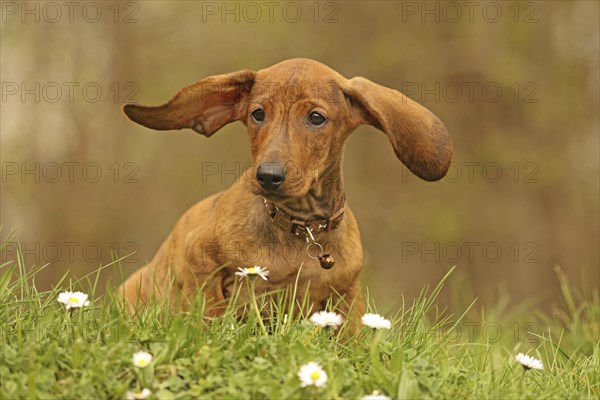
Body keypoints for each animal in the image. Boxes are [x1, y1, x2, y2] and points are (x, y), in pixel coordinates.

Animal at [120, 58, 450, 322]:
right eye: (257, 114)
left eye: (316, 117)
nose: (268, 176)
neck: (300, 229)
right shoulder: (200, 259)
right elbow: (208, 313)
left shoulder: (346, 293)